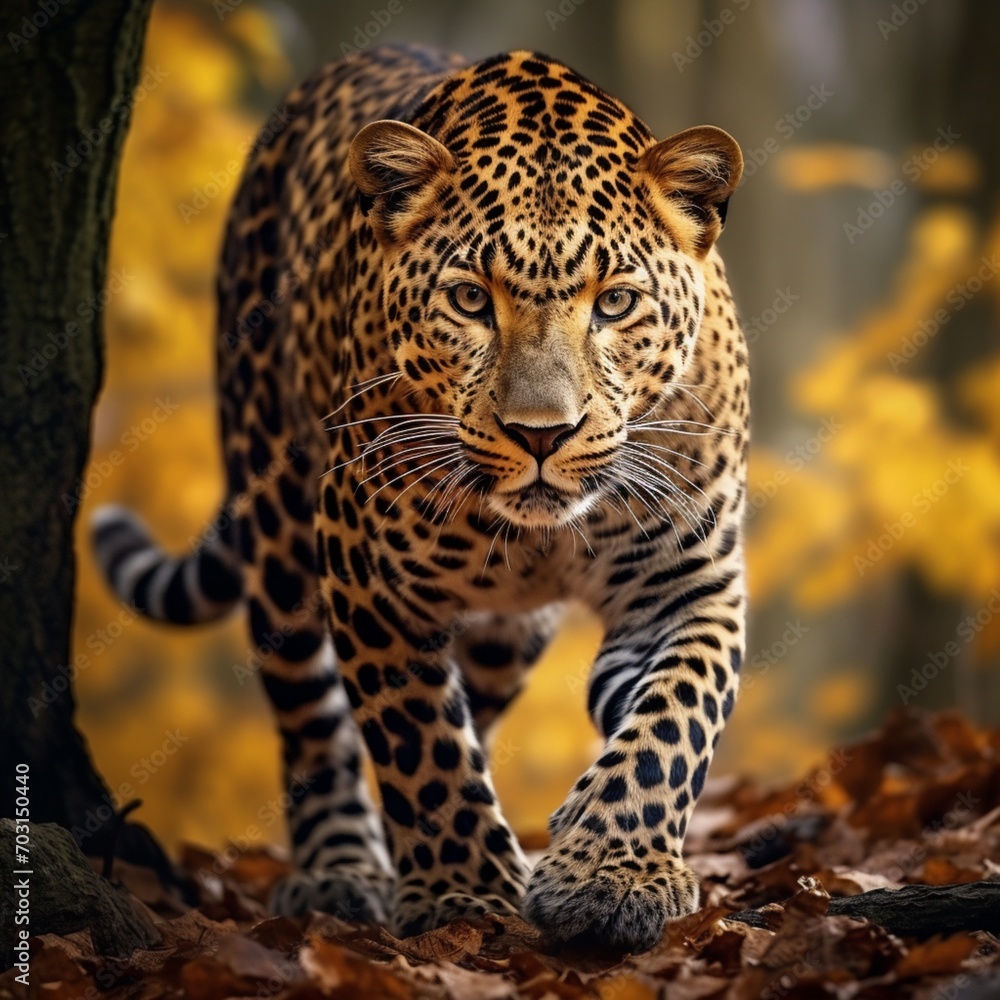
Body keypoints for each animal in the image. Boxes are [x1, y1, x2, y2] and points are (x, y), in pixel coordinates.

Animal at [92, 44, 748, 954]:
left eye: (615, 302)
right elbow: (420, 740)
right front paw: (462, 894)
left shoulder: (687, 584)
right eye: (471, 299)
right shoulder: (369, 577)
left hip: (505, 638)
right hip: (276, 513)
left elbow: (673, 720)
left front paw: (608, 877)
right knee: (312, 717)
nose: (542, 434)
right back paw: (341, 871)